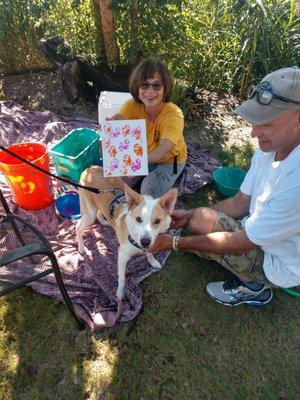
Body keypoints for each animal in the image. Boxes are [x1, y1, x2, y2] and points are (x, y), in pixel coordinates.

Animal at [75, 165, 178, 300]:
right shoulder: (122, 255)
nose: (145, 242)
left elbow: (150, 253)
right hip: (89, 213)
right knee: (78, 227)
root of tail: (89, 169)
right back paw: (81, 247)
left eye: (157, 221)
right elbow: (122, 277)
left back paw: (105, 222)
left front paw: (153, 261)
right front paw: (120, 293)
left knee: (100, 212)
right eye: (138, 219)